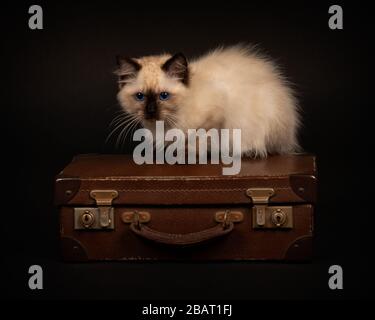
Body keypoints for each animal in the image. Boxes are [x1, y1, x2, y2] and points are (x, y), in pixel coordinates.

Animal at [114, 44, 300, 157]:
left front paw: (186, 152)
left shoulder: (216, 116)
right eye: (140, 96)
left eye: (164, 96)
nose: (151, 111)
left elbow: (198, 137)